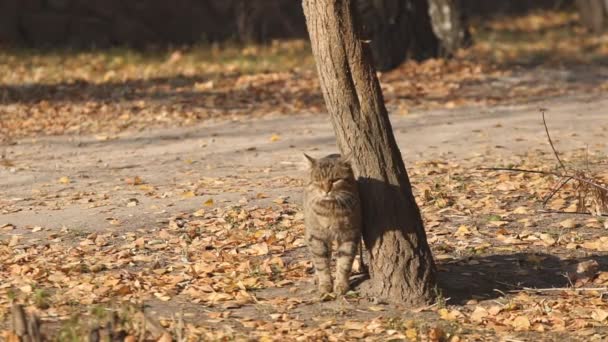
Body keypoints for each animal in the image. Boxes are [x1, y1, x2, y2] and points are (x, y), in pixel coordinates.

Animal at [302, 154, 360, 296]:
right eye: (317, 180)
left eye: (335, 180)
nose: (326, 191)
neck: (331, 209)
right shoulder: (317, 237)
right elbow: (321, 263)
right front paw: (325, 284)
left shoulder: (349, 235)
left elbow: (344, 263)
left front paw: (341, 284)